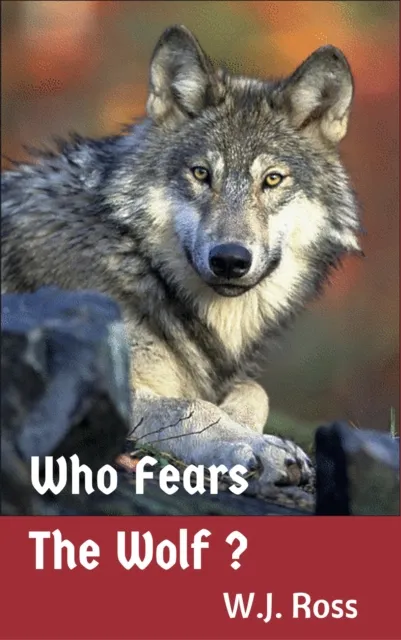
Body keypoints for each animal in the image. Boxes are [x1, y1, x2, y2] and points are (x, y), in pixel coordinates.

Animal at [1, 25, 362, 486]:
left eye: (272, 179)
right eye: (201, 174)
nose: (230, 259)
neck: (138, 261)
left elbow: (254, 390)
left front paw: (254, 433)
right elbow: (192, 406)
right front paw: (259, 448)